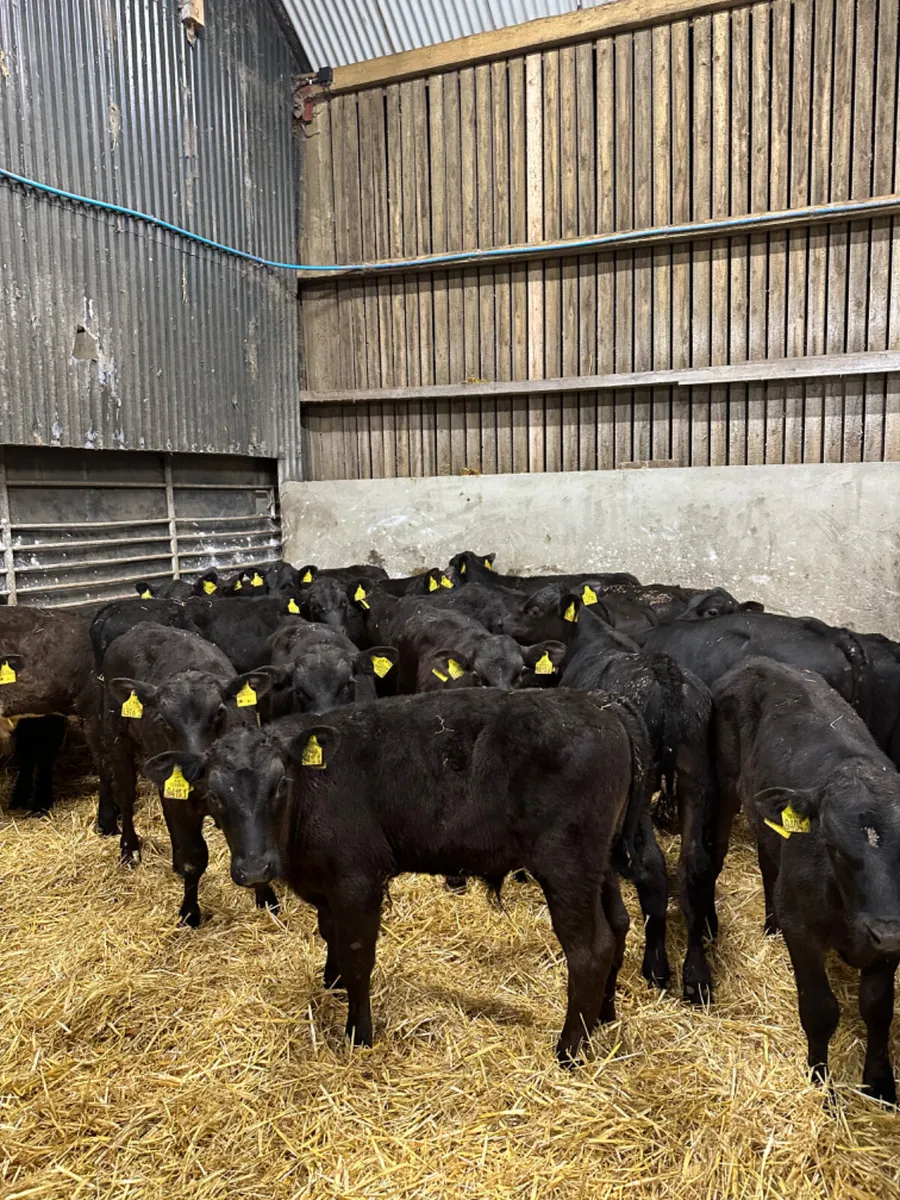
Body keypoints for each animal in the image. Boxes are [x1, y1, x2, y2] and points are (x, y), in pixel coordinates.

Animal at [99, 622, 269, 925]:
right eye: (163, 720)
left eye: (219, 712)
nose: (194, 769)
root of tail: (141, 625)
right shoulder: (183, 801)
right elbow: (194, 858)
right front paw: (190, 912)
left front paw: (267, 897)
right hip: (116, 736)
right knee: (125, 796)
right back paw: (129, 849)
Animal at [143, 688, 651, 1065]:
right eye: (212, 795)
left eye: (280, 784)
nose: (254, 870)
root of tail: (602, 707)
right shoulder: (327, 886)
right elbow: (330, 936)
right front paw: (331, 983)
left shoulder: (358, 880)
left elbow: (357, 954)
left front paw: (359, 1033)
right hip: (601, 864)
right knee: (618, 926)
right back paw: (603, 1016)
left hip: (567, 866)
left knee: (589, 949)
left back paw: (569, 1051)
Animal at [560, 601, 719, 1001]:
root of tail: (666, 675)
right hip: (696, 776)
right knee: (694, 865)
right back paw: (697, 977)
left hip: (644, 783)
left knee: (652, 866)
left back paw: (657, 966)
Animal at [714, 658, 900, 1103]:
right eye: (832, 845)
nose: (884, 932)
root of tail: (759, 663)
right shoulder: (803, 928)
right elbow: (819, 1010)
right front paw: (820, 1082)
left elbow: (878, 1008)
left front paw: (880, 1083)